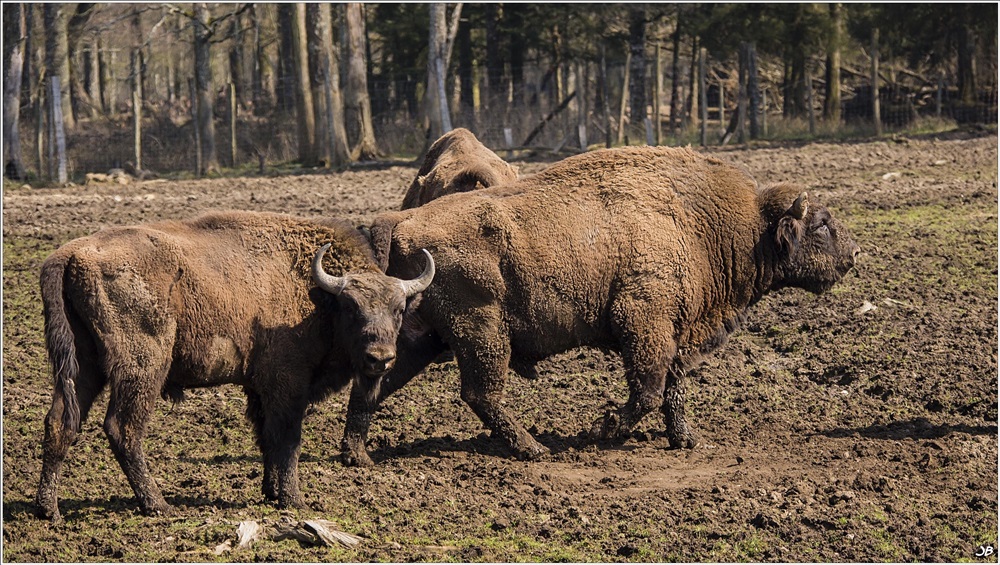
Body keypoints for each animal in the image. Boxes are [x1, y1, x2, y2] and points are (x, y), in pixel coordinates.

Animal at [36, 210, 434, 520]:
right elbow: (287, 439)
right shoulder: (287, 384)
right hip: (142, 368)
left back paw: (48, 510)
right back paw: (159, 505)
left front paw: (272, 492)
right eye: (351, 307)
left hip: (84, 366)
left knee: (60, 422)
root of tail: (70, 253)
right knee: (123, 428)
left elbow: (267, 437)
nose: (380, 358)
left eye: (399, 309)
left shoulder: (260, 389)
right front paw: (294, 500)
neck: (317, 295)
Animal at [344, 145, 860, 468]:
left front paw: (687, 439)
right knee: (479, 392)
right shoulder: (644, 322)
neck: (717, 224)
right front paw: (603, 429)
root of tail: (402, 219)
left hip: (420, 336)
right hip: (482, 333)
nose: (854, 255)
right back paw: (533, 449)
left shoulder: (675, 333)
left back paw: (357, 455)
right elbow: (648, 390)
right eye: (820, 224)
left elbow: (673, 388)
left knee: (374, 382)